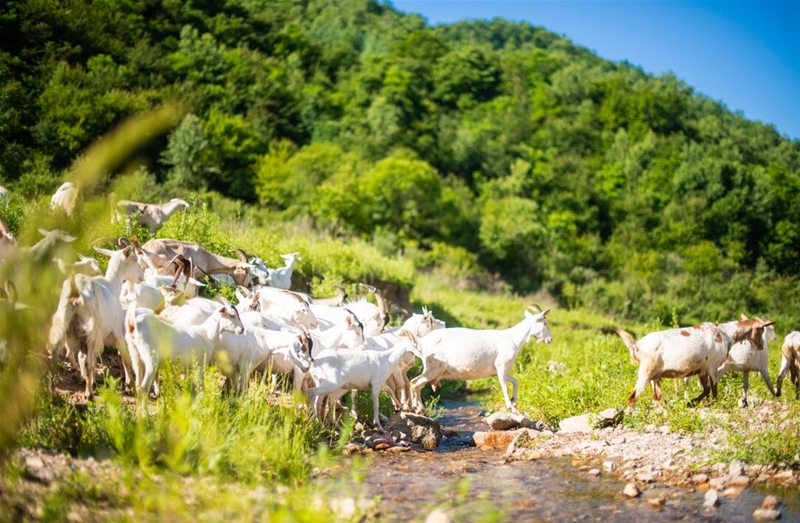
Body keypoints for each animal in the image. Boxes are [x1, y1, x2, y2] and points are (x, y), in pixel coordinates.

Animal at [412, 304, 552, 416]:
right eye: (545, 323)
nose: (550, 339)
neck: (512, 338)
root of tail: (422, 341)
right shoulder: (501, 367)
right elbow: (505, 386)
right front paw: (511, 408)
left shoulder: (497, 371)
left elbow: (516, 382)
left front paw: (514, 402)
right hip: (433, 368)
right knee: (414, 383)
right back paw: (417, 409)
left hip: (432, 370)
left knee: (417, 385)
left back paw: (420, 410)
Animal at [612, 318, 776, 412]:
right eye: (761, 330)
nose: (761, 346)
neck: (725, 334)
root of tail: (637, 345)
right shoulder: (713, 366)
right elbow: (713, 388)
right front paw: (712, 404)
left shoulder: (702, 369)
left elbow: (706, 389)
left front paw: (694, 403)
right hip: (646, 371)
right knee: (633, 396)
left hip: (655, 376)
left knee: (657, 395)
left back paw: (668, 410)